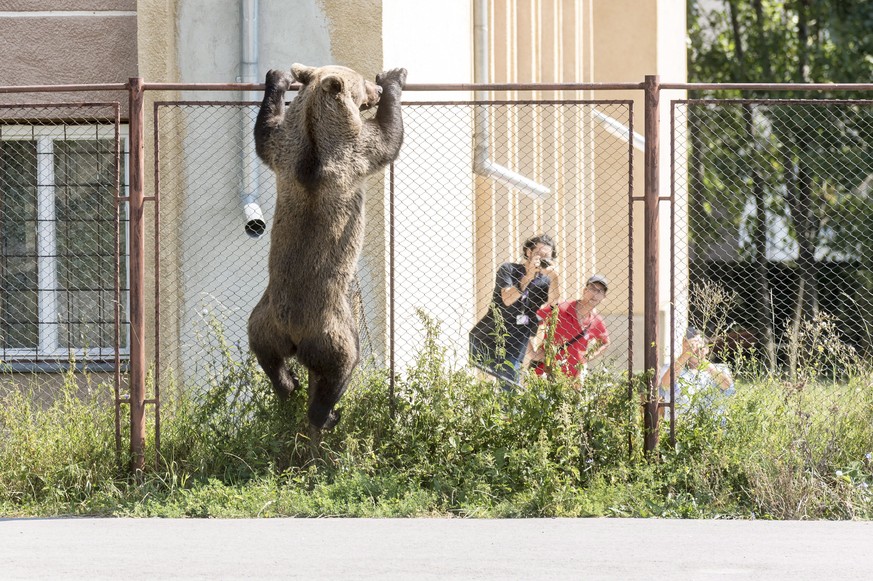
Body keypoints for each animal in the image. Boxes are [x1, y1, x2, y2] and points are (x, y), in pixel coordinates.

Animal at [249, 63, 406, 430]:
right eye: (362, 83)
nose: (375, 90)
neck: (314, 136)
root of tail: (293, 332)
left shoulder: (285, 152)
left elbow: (265, 132)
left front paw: (277, 78)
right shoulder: (355, 153)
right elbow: (387, 138)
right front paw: (394, 78)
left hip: (264, 317)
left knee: (265, 353)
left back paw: (288, 383)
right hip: (333, 326)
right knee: (342, 365)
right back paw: (327, 413)